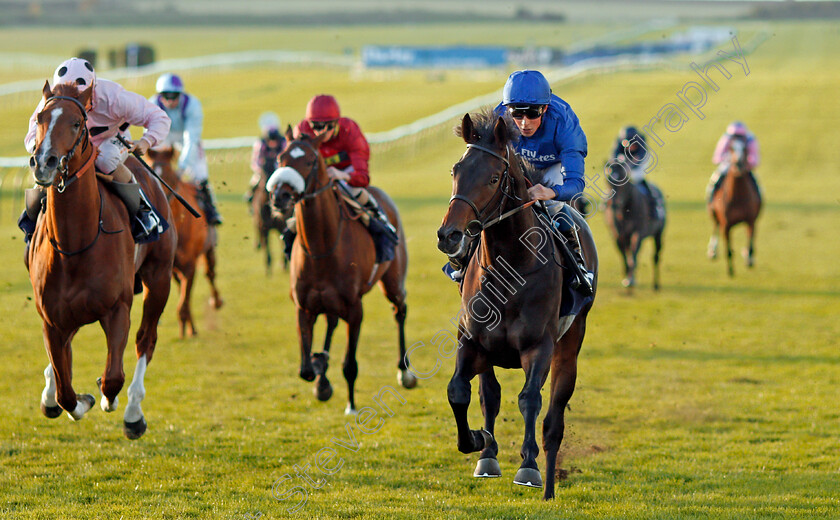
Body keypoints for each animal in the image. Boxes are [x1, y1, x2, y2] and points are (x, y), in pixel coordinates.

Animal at [26, 81, 176, 438]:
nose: (44, 162)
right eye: (39, 118)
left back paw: (133, 413)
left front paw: (109, 399)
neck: (76, 244)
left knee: (145, 340)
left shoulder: (117, 308)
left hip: (159, 278)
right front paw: (72, 399)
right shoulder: (52, 319)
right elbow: (66, 391)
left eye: (76, 123)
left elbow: (112, 378)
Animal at [149, 146, 223, 338]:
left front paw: (188, 330)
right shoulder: (170, 267)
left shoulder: (190, 264)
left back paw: (216, 301)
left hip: (209, 249)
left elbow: (184, 300)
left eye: (169, 175)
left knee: (210, 274)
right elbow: (183, 298)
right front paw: (188, 327)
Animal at [274, 127, 416, 414]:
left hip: (393, 281)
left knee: (400, 310)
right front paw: (320, 373)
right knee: (330, 322)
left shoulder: (354, 308)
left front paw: (350, 405)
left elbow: (350, 365)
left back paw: (405, 372)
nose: (280, 195)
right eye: (281, 158)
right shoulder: (303, 307)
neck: (321, 249)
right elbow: (305, 369)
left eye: (309, 161)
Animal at [436, 111, 600, 502]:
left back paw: (550, 487)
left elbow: (530, 400)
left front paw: (528, 466)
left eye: (494, 177)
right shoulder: (471, 341)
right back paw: (488, 456)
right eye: (455, 170)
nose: (449, 236)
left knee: (554, 419)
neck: (508, 270)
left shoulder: (538, 346)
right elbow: (460, 391)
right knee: (489, 394)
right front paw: (478, 441)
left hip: (570, 344)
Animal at [708, 136, 760, 278]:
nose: (738, 164)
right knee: (715, 226)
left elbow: (750, 243)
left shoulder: (750, 220)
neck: (738, 197)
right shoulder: (726, 225)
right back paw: (712, 251)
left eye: (745, 148)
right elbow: (729, 250)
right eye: (731, 147)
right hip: (714, 215)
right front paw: (730, 271)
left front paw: (749, 259)